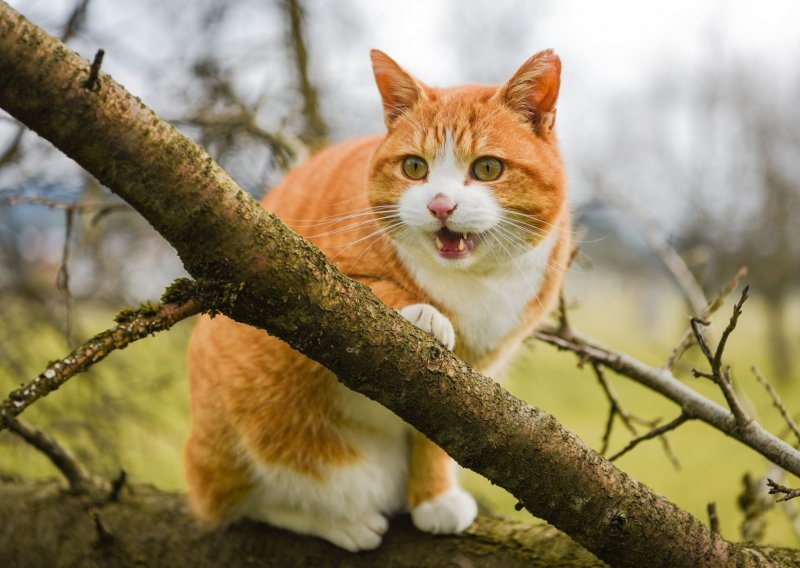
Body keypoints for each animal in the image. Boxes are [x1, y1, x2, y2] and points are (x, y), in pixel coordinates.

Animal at [184, 47, 572, 552]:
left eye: (487, 168)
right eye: (414, 167)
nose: (441, 206)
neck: (472, 281)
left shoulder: (474, 379)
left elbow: (441, 439)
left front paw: (433, 499)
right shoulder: (293, 267)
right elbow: (368, 289)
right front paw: (427, 313)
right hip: (236, 434)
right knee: (249, 501)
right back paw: (341, 521)